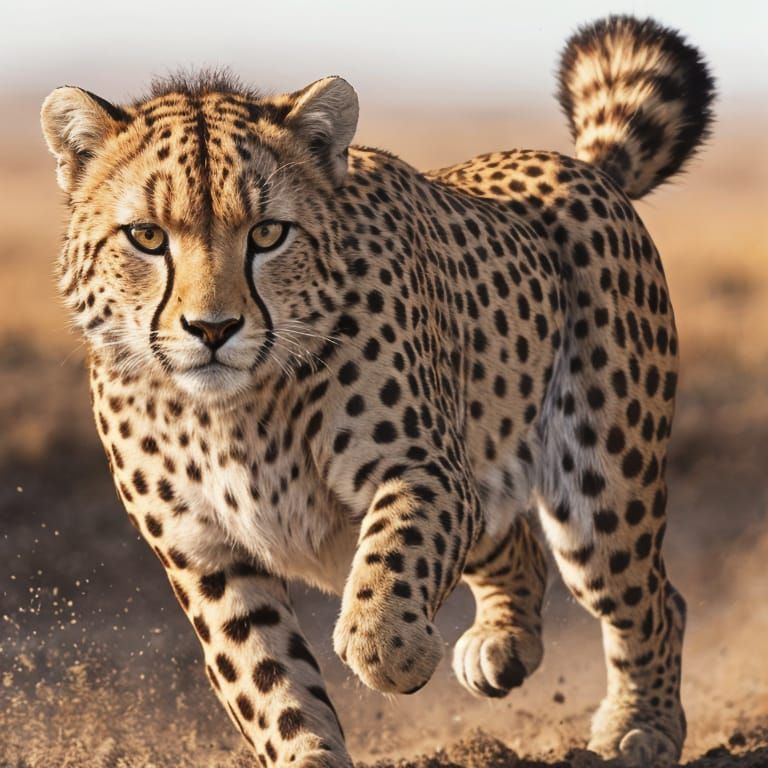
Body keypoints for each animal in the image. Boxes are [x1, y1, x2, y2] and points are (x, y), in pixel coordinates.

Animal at [40, 15, 714, 768]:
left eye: (267, 233)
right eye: (147, 236)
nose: (212, 329)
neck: (232, 410)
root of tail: (579, 166)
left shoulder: (425, 471)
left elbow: (392, 563)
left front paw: (392, 652)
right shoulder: (207, 556)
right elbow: (265, 677)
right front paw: (306, 750)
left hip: (601, 488)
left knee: (651, 599)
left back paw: (642, 724)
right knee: (514, 540)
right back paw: (503, 645)